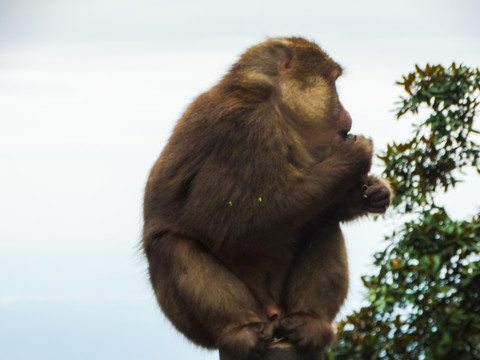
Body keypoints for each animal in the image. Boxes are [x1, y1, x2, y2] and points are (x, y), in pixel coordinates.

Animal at [142, 37, 390, 360]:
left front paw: (374, 192)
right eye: (334, 81)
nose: (347, 115)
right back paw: (240, 332)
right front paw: (354, 158)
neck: (270, 104)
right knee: (172, 245)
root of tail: (271, 312)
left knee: (321, 219)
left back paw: (310, 323)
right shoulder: (245, 129)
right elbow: (233, 224)